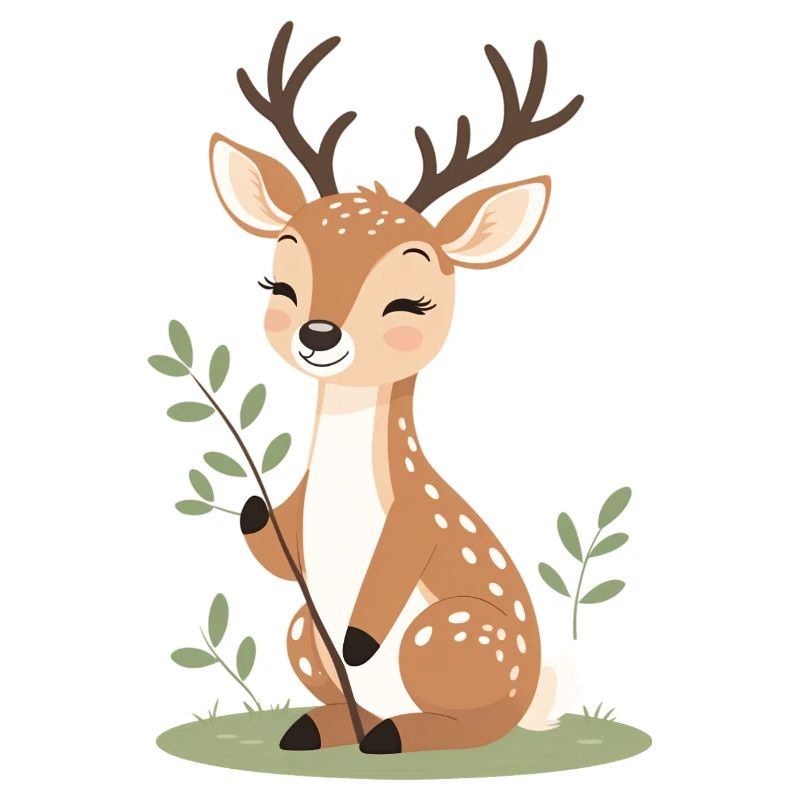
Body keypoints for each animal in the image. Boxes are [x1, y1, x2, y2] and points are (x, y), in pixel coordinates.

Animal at [208, 21, 582, 754]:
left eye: (410, 303)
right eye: (280, 286)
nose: (319, 335)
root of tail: (537, 698)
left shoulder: (419, 516)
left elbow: (401, 558)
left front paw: (357, 640)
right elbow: (275, 549)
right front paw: (253, 508)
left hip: (452, 633)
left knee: (474, 722)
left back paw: (389, 733)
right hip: (301, 628)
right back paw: (315, 726)